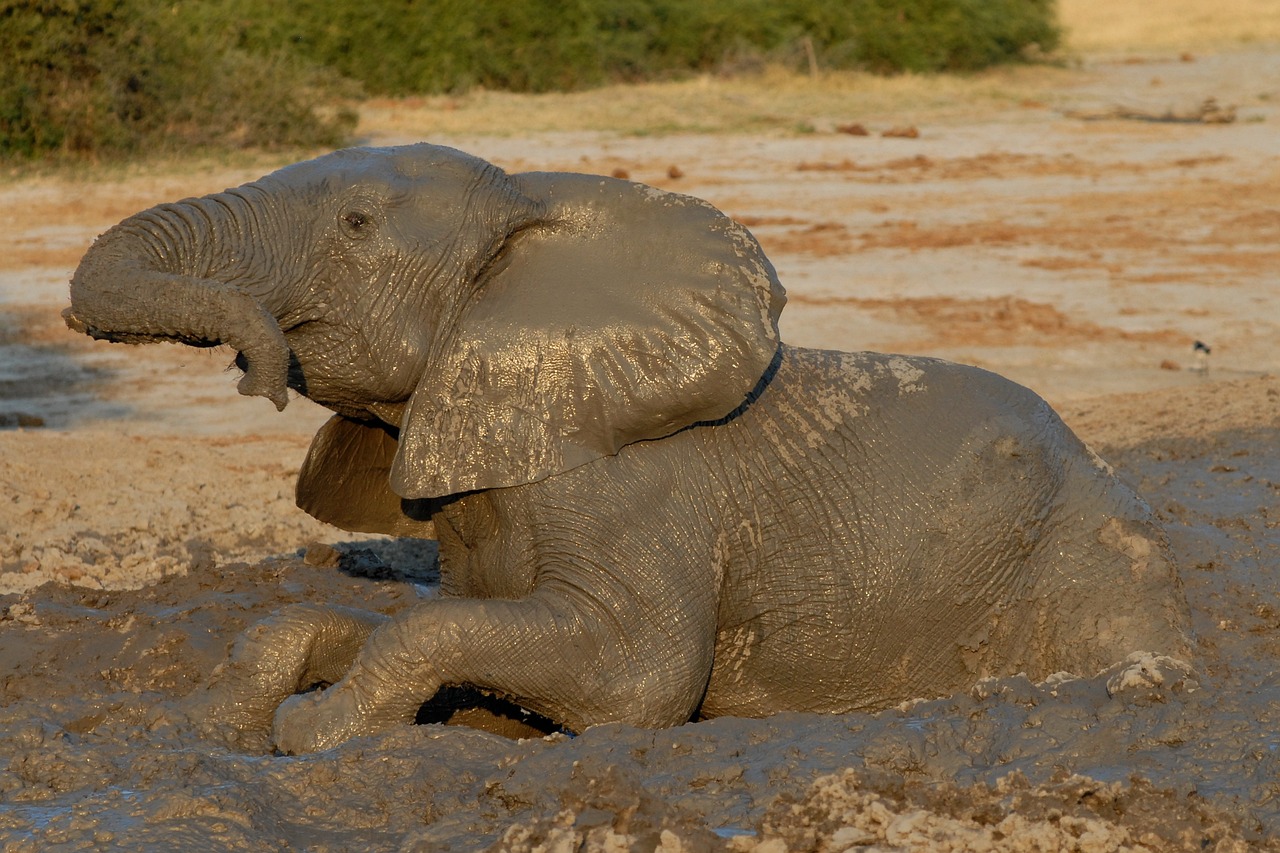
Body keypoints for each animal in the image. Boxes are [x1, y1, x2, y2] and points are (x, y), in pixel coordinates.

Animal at [64, 140, 1192, 753]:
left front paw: (315, 733)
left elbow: (635, 673)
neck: (534, 217)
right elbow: (402, 617)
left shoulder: (626, 485)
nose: (252, 370)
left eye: (354, 224)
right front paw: (211, 725)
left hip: (1086, 536)